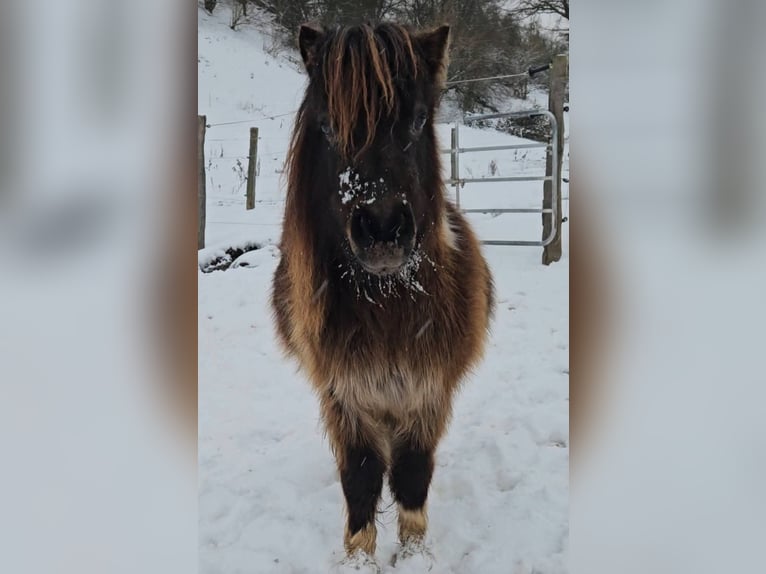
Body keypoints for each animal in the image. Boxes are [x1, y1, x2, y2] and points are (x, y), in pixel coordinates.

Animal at [272, 23, 496, 568]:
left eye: (417, 120)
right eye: (328, 125)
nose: (382, 229)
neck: (389, 304)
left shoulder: (427, 390)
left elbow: (412, 472)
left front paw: (414, 554)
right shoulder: (345, 395)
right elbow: (361, 475)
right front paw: (359, 557)